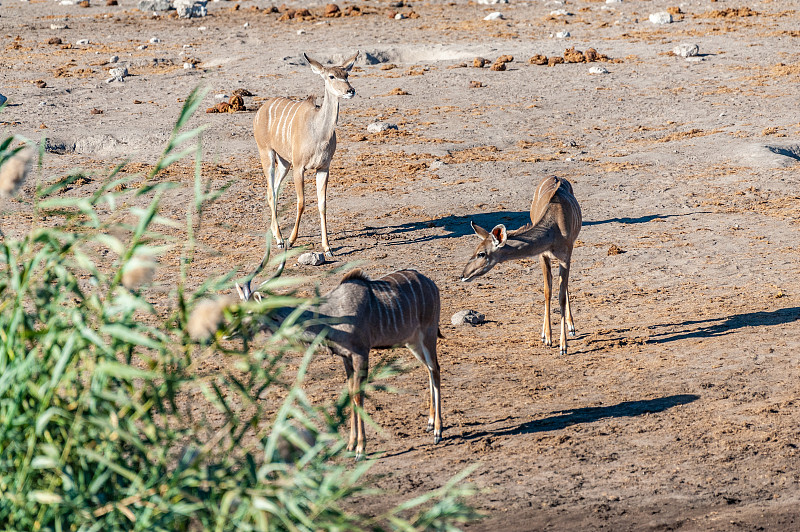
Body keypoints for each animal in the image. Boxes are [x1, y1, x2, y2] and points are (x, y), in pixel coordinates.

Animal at [236, 260, 444, 460]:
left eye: (250, 313)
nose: (233, 331)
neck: (332, 314)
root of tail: (431, 283)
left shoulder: (361, 353)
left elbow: (359, 396)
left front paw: (360, 450)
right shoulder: (346, 357)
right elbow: (351, 394)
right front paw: (350, 446)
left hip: (428, 334)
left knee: (435, 370)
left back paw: (437, 431)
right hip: (412, 343)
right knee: (428, 370)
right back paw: (429, 422)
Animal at [253, 51, 360, 258]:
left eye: (347, 74)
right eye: (331, 76)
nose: (350, 90)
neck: (318, 132)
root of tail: (260, 111)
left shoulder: (323, 168)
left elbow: (322, 204)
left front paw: (327, 248)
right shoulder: (299, 167)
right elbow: (301, 202)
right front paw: (291, 240)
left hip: (284, 162)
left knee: (274, 190)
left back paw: (275, 233)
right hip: (267, 154)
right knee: (270, 191)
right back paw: (280, 239)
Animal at [462, 177, 580, 356]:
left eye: (481, 253)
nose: (463, 275)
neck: (554, 228)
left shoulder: (565, 257)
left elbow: (561, 296)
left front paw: (563, 346)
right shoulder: (543, 256)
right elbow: (547, 291)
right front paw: (547, 337)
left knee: (564, 288)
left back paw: (571, 326)